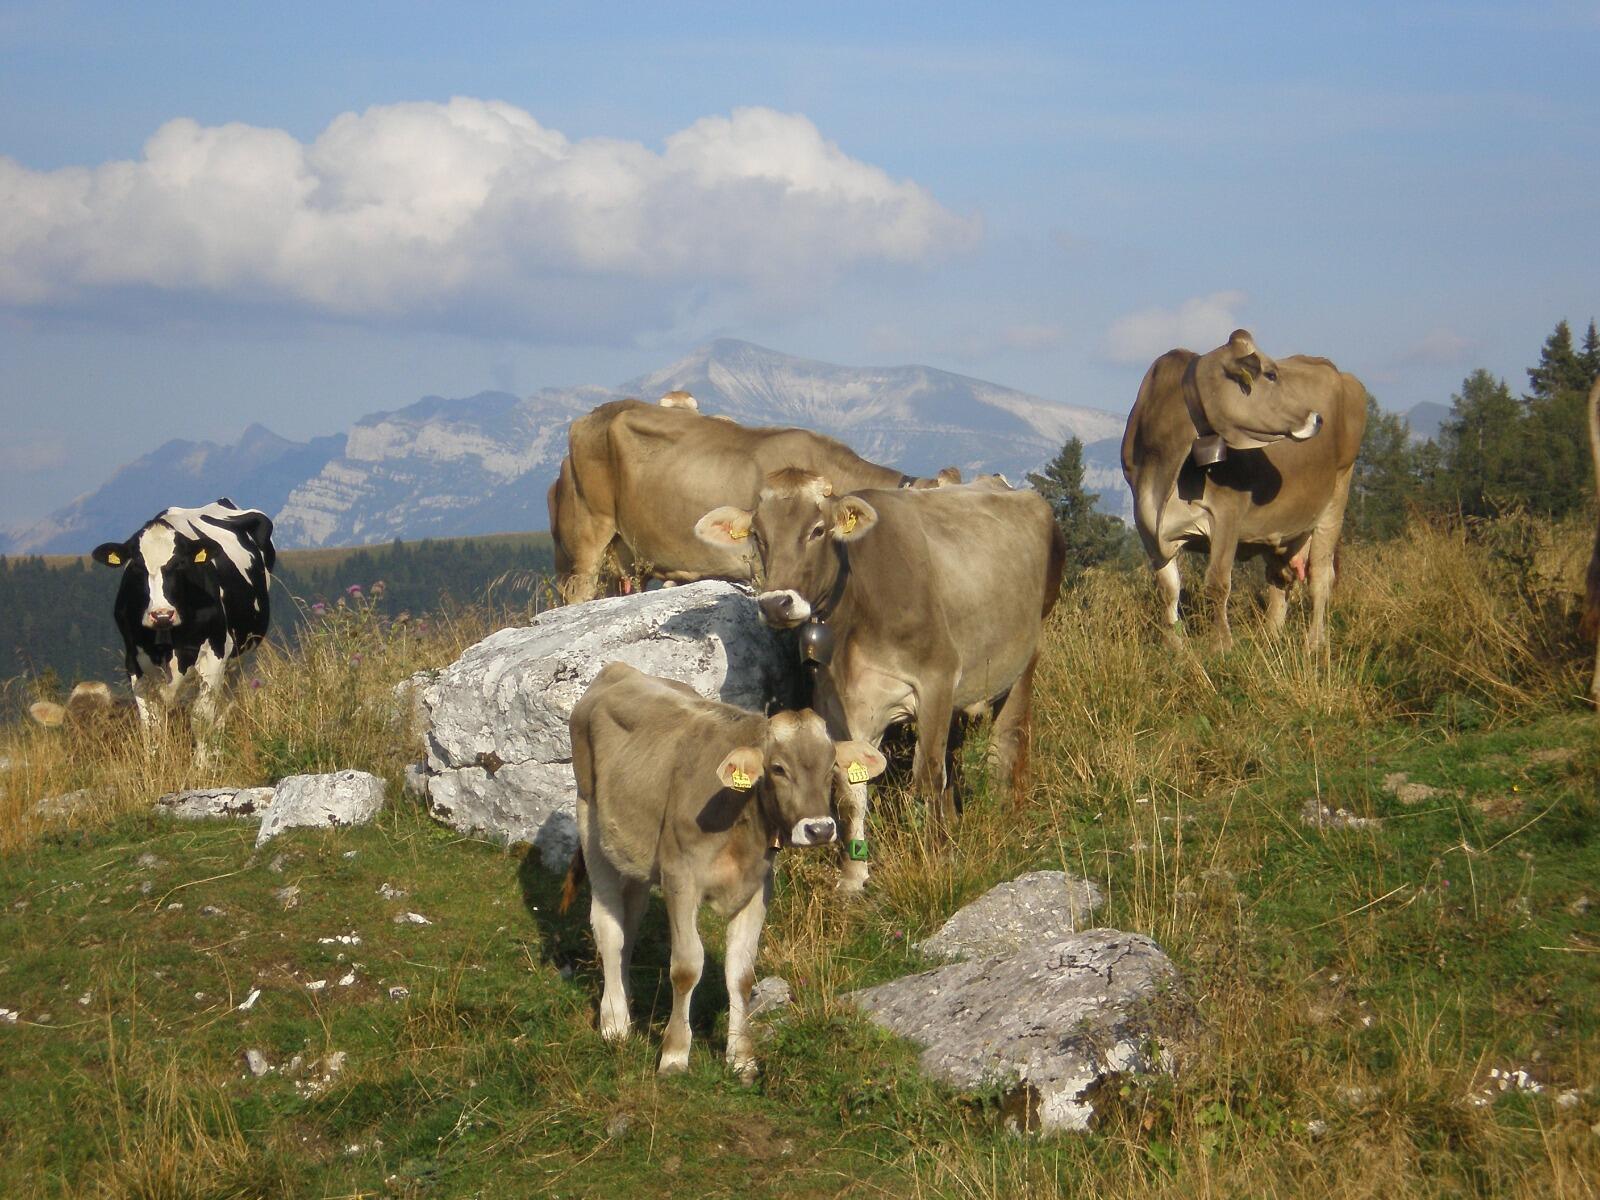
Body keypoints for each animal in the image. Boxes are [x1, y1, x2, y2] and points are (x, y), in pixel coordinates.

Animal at [90, 499, 275, 752]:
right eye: (137, 566)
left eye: (179, 564)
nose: (161, 614)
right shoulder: (134, 662)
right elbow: (151, 726)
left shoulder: (214, 654)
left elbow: (201, 719)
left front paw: (202, 761)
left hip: (240, 656)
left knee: (226, 702)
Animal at [563, 662, 889, 1088]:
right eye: (778, 768)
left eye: (832, 765)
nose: (819, 829)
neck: (740, 825)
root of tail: (619, 669)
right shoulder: (680, 879)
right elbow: (686, 967)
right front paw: (674, 1054)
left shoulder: (758, 886)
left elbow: (741, 973)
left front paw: (741, 1058)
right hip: (590, 821)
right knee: (608, 926)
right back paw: (615, 1022)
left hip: (634, 854)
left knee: (628, 925)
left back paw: (626, 1006)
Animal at [697, 473, 1062, 896]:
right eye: (758, 534)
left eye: (818, 530)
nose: (776, 604)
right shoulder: (839, 705)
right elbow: (850, 791)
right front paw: (853, 875)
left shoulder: (936, 680)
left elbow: (927, 776)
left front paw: (937, 859)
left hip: (1027, 653)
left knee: (1007, 738)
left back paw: (1008, 814)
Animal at [1120, 329, 1369, 649]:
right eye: (1271, 374)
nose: (1317, 418)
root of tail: (1337, 371)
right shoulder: (1146, 524)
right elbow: (1168, 588)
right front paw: (1174, 645)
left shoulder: (1227, 513)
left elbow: (1217, 582)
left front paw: (1221, 644)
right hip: (1280, 526)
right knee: (1279, 579)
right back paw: (1270, 637)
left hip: (1336, 498)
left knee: (1321, 577)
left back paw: (1314, 642)